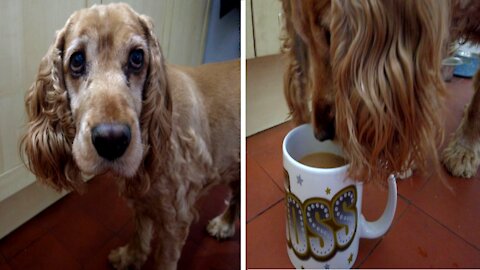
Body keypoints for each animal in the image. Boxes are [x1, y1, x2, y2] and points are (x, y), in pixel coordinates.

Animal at [20, 2, 240, 270]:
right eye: (77, 60)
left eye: (137, 58)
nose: (111, 140)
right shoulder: (141, 199)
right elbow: (140, 232)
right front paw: (130, 257)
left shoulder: (175, 221)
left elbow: (163, 260)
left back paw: (224, 224)